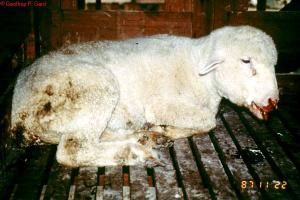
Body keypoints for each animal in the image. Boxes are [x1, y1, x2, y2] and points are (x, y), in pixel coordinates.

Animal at [10, 26, 280, 167]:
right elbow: (208, 121)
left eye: (274, 64)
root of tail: (18, 114)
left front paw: (162, 131)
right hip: (93, 88)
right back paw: (134, 152)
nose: (272, 102)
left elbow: (206, 121)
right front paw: (166, 129)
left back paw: (143, 137)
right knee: (72, 150)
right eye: (246, 61)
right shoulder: (161, 104)